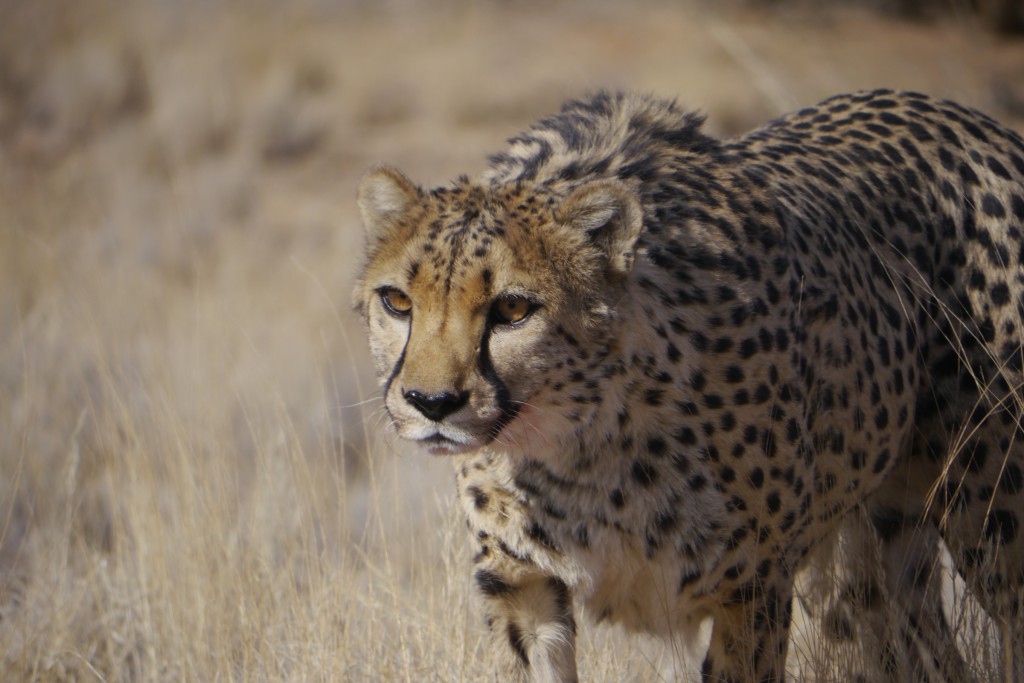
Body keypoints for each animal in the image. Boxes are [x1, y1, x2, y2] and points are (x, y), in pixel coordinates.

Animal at [352, 89, 1024, 679]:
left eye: (513, 309)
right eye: (397, 301)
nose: (431, 403)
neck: (579, 441)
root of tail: (966, 119)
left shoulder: (754, 584)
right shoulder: (522, 585)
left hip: (989, 518)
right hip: (878, 544)